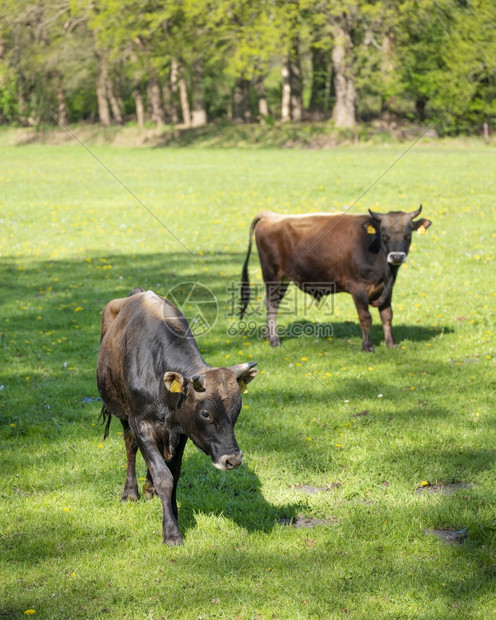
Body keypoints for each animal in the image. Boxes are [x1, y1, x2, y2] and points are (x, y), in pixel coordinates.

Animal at [239, 207, 430, 352]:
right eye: (384, 235)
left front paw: (392, 344)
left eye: (408, 235)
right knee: (272, 306)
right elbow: (366, 317)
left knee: (270, 303)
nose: (397, 256)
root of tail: (271, 216)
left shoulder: (386, 289)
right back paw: (274, 340)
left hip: (283, 278)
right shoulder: (358, 289)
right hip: (273, 275)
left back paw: (267, 336)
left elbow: (387, 316)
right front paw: (367, 346)